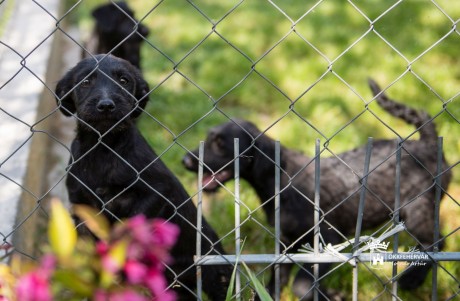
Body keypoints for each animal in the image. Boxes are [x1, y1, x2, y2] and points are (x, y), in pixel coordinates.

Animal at [54, 55, 232, 298]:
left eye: (124, 80)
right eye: (86, 82)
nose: (106, 105)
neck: (104, 149)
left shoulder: (157, 192)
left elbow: (131, 227)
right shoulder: (81, 207)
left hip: (215, 276)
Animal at [181, 79, 452, 298]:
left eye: (220, 144)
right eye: (209, 139)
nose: (184, 161)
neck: (280, 181)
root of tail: (428, 143)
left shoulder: (327, 239)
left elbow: (302, 286)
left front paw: (329, 295)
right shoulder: (287, 244)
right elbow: (276, 282)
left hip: (418, 209)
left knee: (436, 242)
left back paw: (411, 279)